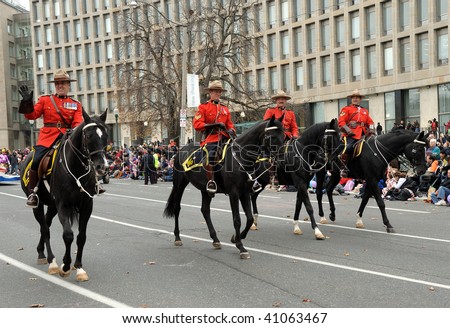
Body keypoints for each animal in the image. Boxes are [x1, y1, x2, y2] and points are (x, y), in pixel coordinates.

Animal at [19, 109, 108, 280]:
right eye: (88, 136)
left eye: (106, 135)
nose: (102, 166)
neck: (76, 168)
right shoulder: (63, 206)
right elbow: (68, 235)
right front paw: (65, 266)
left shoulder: (87, 206)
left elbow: (81, 237)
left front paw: (79, 267)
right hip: (38, 205)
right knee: (45, 229)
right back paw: (52, 261)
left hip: (52, 206)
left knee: (46, 224)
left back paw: (41, 253)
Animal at [164, 116, 284, 258]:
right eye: (272, 137)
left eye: (284, 136)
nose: (282, 159)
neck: (240, 157)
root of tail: (181, 150)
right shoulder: (234, 193)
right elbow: (237, 219)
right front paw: (240, 246)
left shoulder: (245, 193)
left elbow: (249, 218)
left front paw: (236, 238)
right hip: (179, 184)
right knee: (177, 208)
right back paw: (177, 237)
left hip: (205, 189)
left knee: (205, 210)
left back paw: (215, 239)